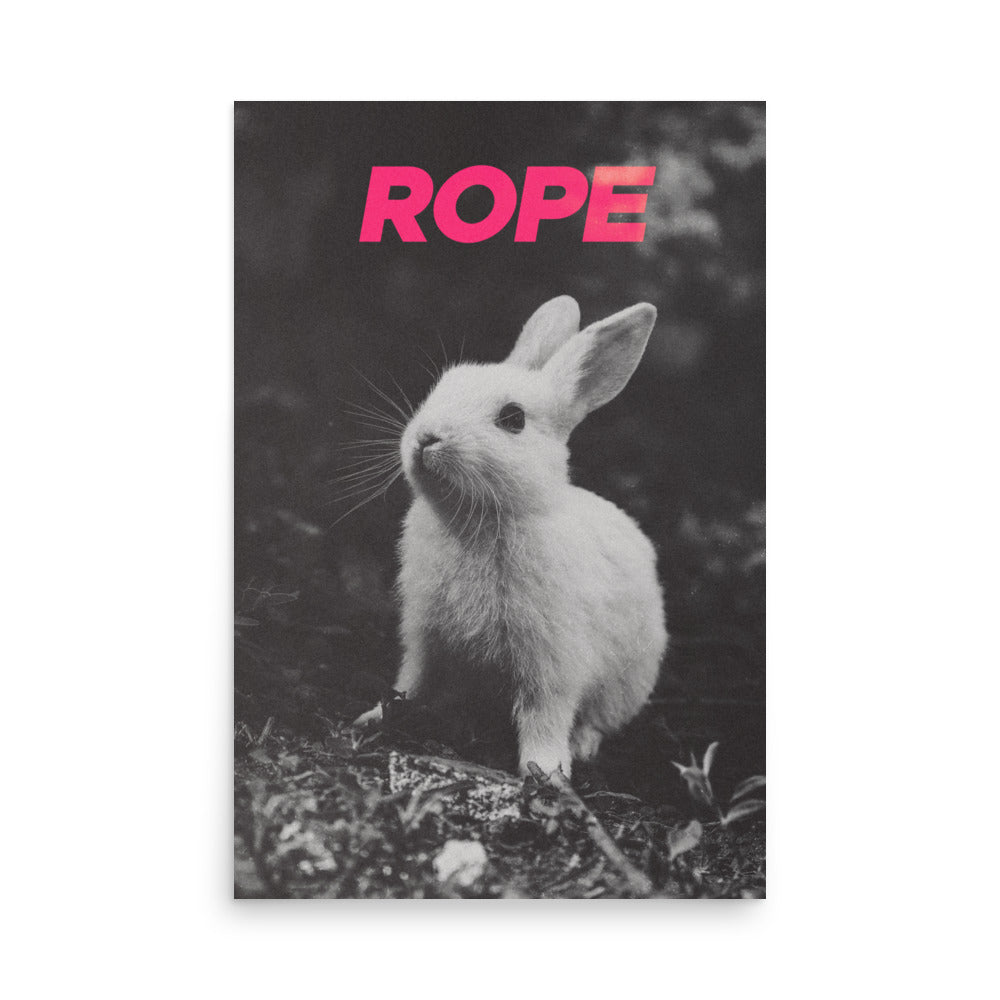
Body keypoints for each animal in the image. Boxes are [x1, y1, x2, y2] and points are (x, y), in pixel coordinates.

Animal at [353, 295, 667, 779]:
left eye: (513, 419)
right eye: (444, 385)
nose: (427, 438)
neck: (476, 523)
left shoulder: (552, 659)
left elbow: (545, 715)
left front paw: (547, 772)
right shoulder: (424, 636)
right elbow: (411, 681)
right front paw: (373, 718)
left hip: (626, 682)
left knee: (596, 719)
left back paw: (583, 746)